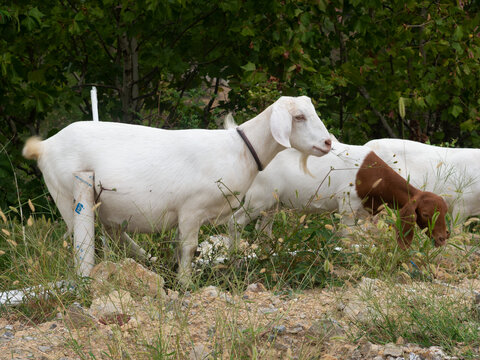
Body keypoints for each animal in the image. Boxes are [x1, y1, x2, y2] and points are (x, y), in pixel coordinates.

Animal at [23, 96, 334, 286]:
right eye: (299, 116)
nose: (328, 142)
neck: (238, 150)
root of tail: (44, 146)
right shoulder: (191, 209)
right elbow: (189, 247)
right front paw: (185, 282)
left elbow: (180, 247)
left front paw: (177, 272)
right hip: (68, 197)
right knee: (85, 239)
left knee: (115, 234)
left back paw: (148, 261)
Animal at [229, 141, 450, 250]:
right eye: (426, 214)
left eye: (444, 213)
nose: (442, 238)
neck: (371, 174)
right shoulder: (347, 206)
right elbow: (347, 236)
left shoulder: (365, 212)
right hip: (258, 198)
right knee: (236, 220)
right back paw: (235, 253)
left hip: (272, 204)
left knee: (263, 228)